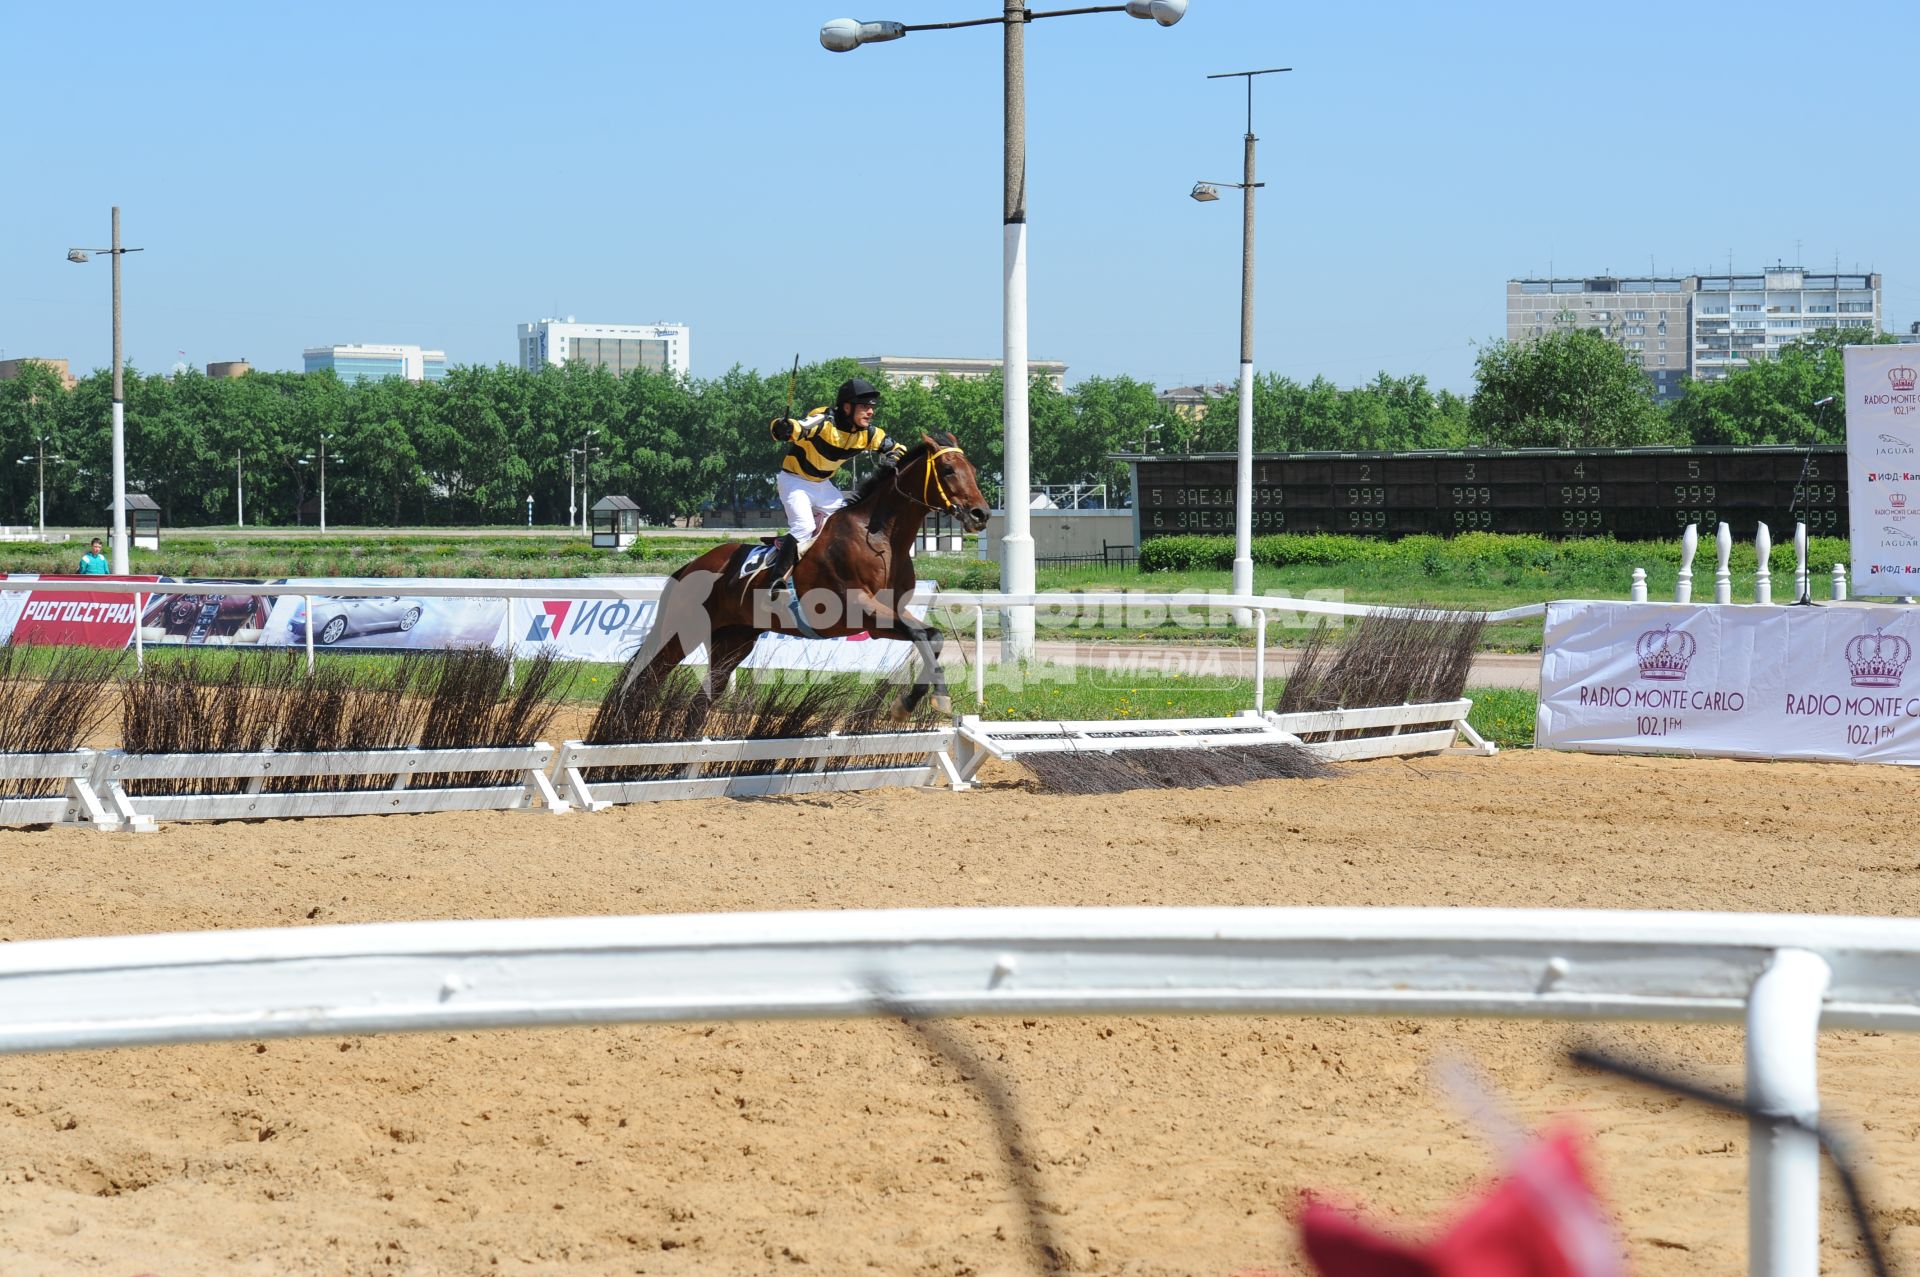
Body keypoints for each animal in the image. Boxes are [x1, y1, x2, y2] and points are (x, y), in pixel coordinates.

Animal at [625, 433, 990, 718]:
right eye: (948, 470)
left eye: (973, 470)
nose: (981, 514)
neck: (880, 538)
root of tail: (689, 566)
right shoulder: (859, 607)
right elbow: (922, 635)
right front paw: (920, 700)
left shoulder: (885, 618)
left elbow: (933, 635)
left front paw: (918, 700)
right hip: (681, 631)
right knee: (643, 679)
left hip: (733, 640)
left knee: (699, 699)